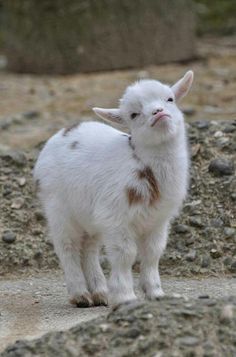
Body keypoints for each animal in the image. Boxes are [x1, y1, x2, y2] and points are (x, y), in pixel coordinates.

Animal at [33, 70, 194, 306]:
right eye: (134, 114)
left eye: (170, 99)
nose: (158, 112)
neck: (143, 165)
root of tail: (60, 134)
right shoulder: (117, 218)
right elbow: (125, 254)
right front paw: (126, 296)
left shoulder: (157, 220)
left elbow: (153, 253)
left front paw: (155, 293)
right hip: (58, 208)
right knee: (67, 247)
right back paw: (80, 295)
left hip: (90, 215)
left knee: (89, 248)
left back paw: (99, 293)